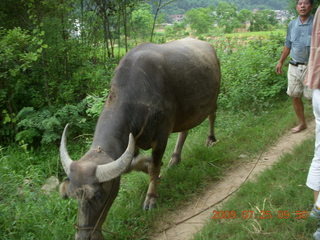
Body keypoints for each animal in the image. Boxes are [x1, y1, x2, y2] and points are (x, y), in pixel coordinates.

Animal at [59, 38, 220, 239]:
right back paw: (175, 159)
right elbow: (135, 165)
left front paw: (151, 198)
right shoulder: (130, 144)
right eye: (73, 196)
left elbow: (154, 167)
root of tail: (208, 46)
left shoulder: (160, 137)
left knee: (212, 116)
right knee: (185, 131)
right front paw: (150, 167)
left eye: (98, 195)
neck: (137, 95)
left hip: (214, 97)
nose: (84, 236)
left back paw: (211, 139)